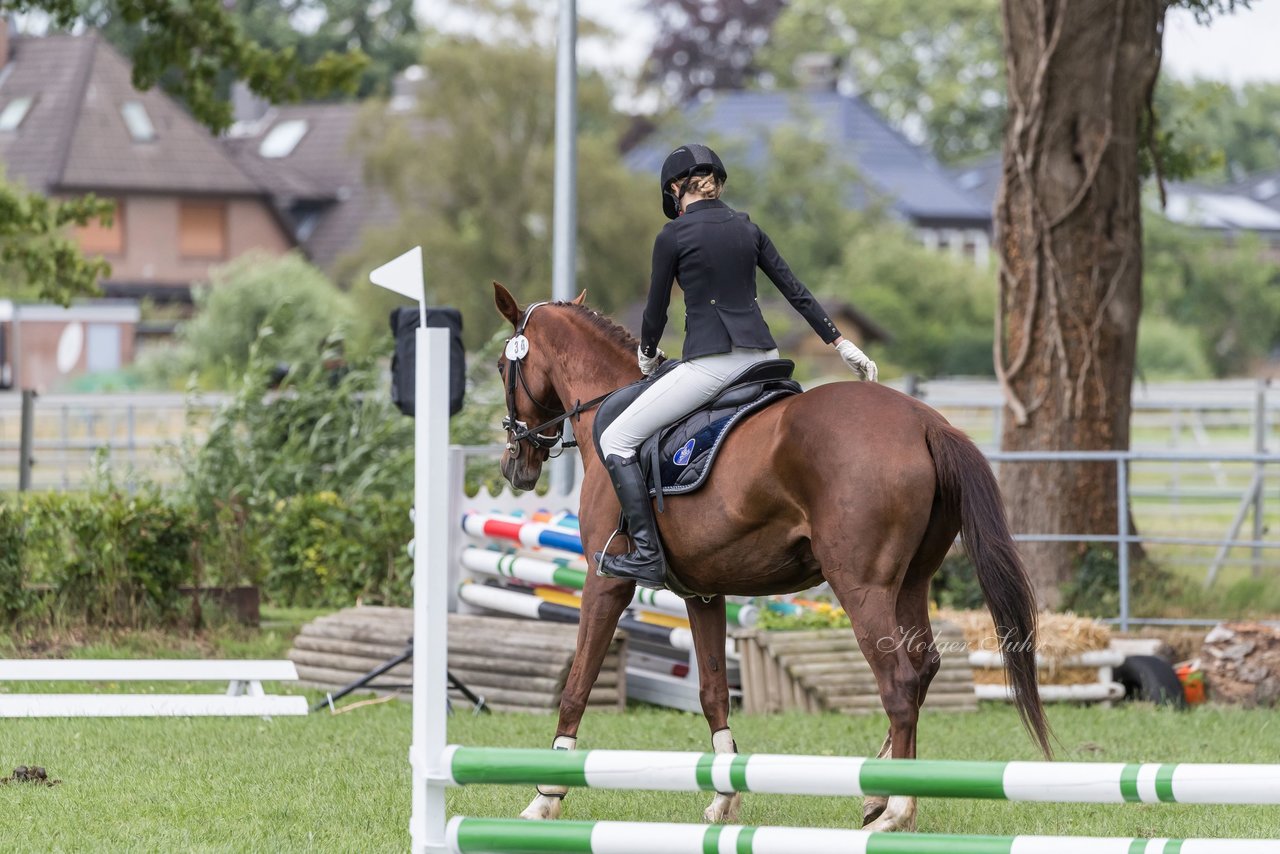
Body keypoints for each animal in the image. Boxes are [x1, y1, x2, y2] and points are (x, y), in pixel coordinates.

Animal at [488, 284, 1049, 829]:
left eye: (499, 365)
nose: (515, 465)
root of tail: (924, 421)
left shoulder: (605, 581)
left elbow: (579, 682)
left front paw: (545, 798)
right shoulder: (703, 593)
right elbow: (712, 690)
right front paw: (723, 800)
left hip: (861, 586)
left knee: (899, 681)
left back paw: (895, 810)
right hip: (911, 582)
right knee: (924, 666)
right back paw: (879, 794)